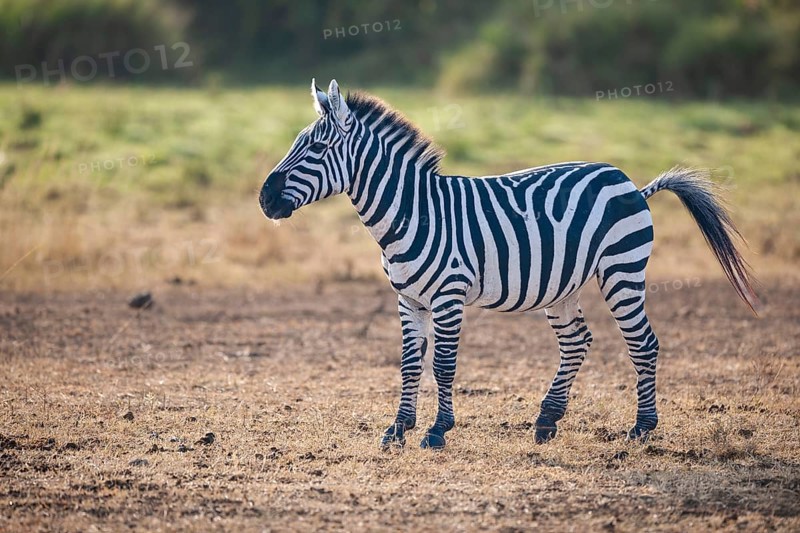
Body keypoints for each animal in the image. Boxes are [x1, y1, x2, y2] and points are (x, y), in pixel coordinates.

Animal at [259, 79, 760, 450]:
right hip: (564, 286)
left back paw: (641, 428)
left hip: (623, 271)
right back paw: (546, 421)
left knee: (644, 344)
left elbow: (443, 364)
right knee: (577, 342)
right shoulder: (408, 300)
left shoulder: (448, 296)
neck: (413, 211)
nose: (264, 199)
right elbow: (408, 364)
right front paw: (397, 430)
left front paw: (437, 432)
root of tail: (630, 183)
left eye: (316, 149)